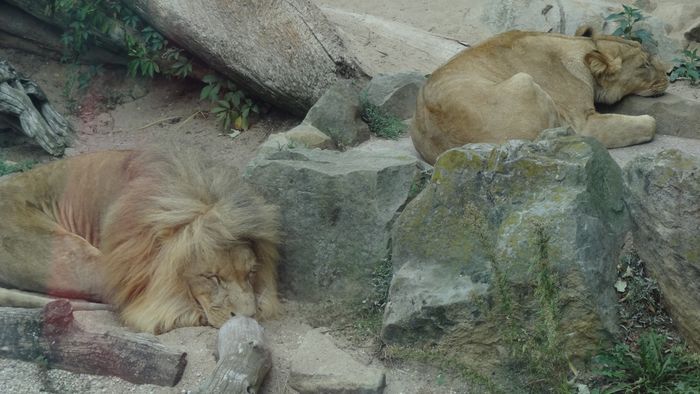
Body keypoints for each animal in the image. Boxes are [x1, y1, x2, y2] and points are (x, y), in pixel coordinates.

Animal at [412, 26, 668, 165]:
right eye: (644, 65)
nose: (669, 72)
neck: (581, 48)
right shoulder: (583, 124)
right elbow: (649, 124)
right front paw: (649, 120)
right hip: (524, 81)